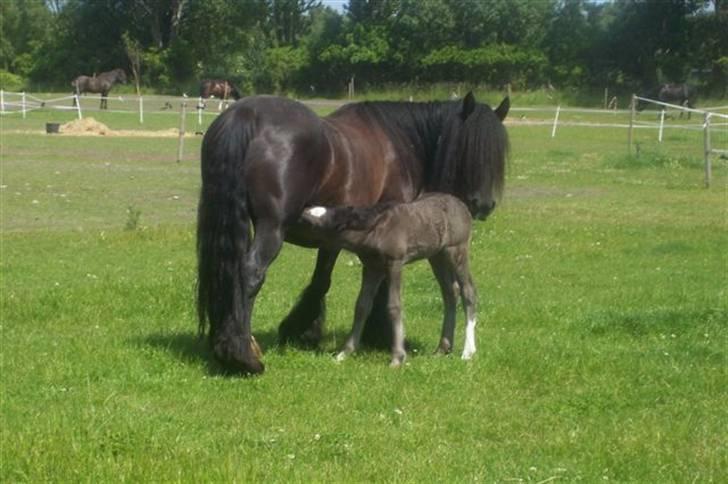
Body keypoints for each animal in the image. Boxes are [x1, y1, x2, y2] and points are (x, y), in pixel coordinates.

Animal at [300, 193, 478, 366]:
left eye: (313, 224)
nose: (302, 214)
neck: (375, 231)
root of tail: (462, 205)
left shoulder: (395, 264)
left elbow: (394, 306)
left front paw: (398, 357)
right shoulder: (372, 268)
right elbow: (361, 307)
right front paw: (345, 353)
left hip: (457, 250)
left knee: (468, 292)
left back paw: (468, 351)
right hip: (437, 256)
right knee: (450, 292)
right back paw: (443, 349)